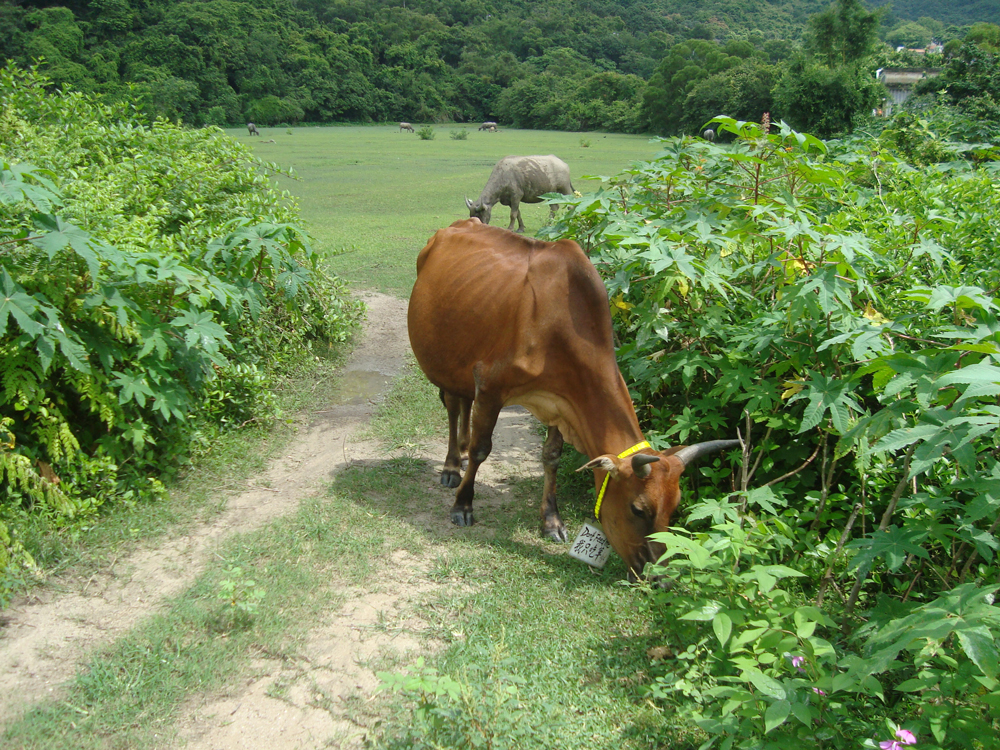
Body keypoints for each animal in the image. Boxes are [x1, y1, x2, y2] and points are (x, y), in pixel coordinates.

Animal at [406, 217, 744, 580]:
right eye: (638, 509)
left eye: (675, 507)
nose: (661, 579)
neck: (557, 326)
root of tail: (461, 223)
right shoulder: (490, 384)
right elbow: (482, 449)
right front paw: (463, 505)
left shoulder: (560, 402)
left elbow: (551, 456)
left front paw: (551, 521)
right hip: (445, 364)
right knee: (454, 408)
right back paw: (452, 466)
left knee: (461, 404)